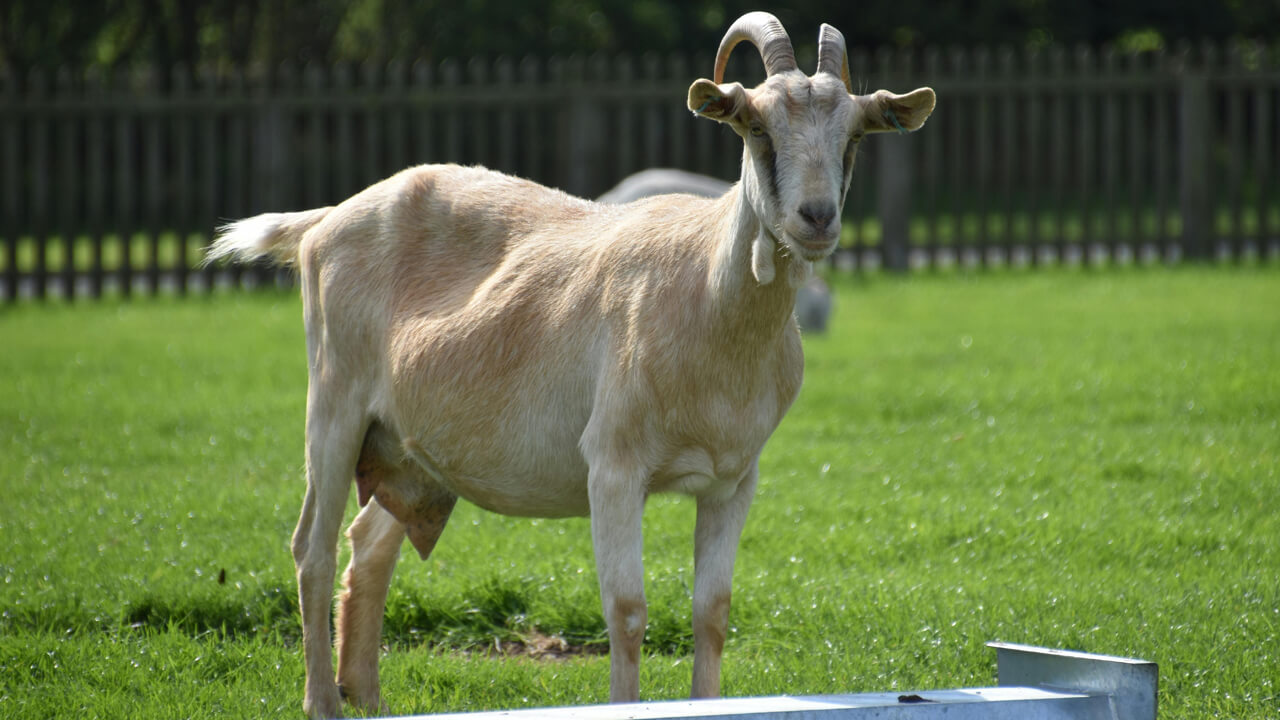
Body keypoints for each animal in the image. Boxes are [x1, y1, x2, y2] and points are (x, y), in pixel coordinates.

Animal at [208, 12, 934, 718]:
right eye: (757, 127)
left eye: (854, 137)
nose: (817, 218)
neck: (705, 294)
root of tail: (324, 221)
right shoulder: (613, 465)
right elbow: (628, 612)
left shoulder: (733, 479)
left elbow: (713, 613)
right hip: (335, 404)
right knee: (313, 546)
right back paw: (323, 700)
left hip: (409, 446)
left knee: (369, 541)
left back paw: (369, 695)